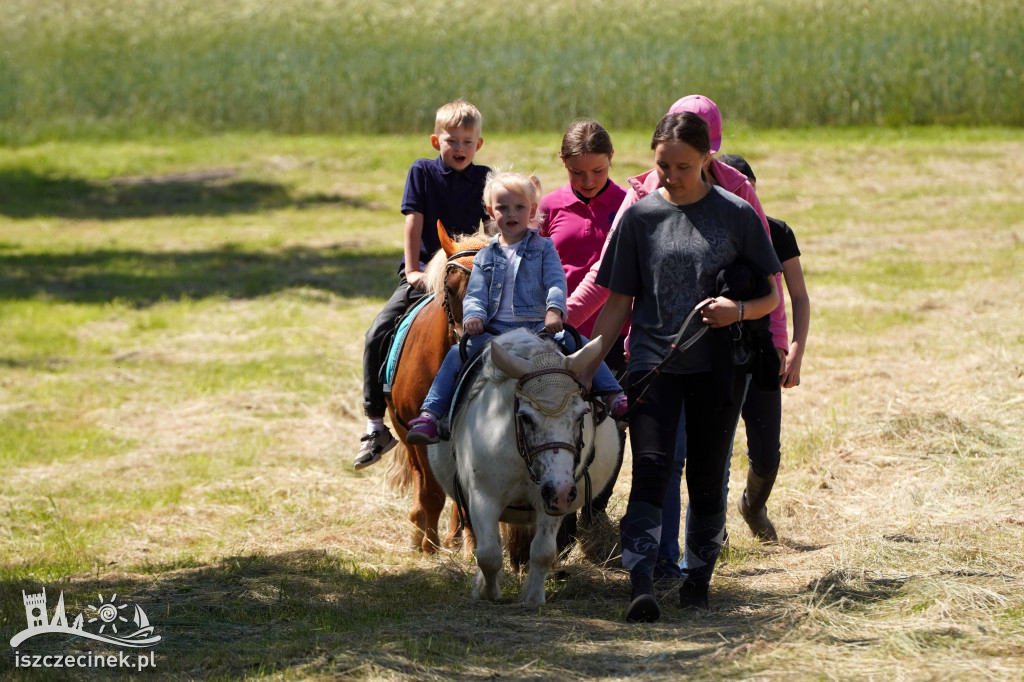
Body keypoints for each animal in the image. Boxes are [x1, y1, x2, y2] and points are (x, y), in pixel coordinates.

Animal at [387, 223, 491, 552]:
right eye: (452, 288)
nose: (472, 341)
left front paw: (470, 546)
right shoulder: (416, 431)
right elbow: (431, 490)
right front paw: (428, 546)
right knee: (421, 475)